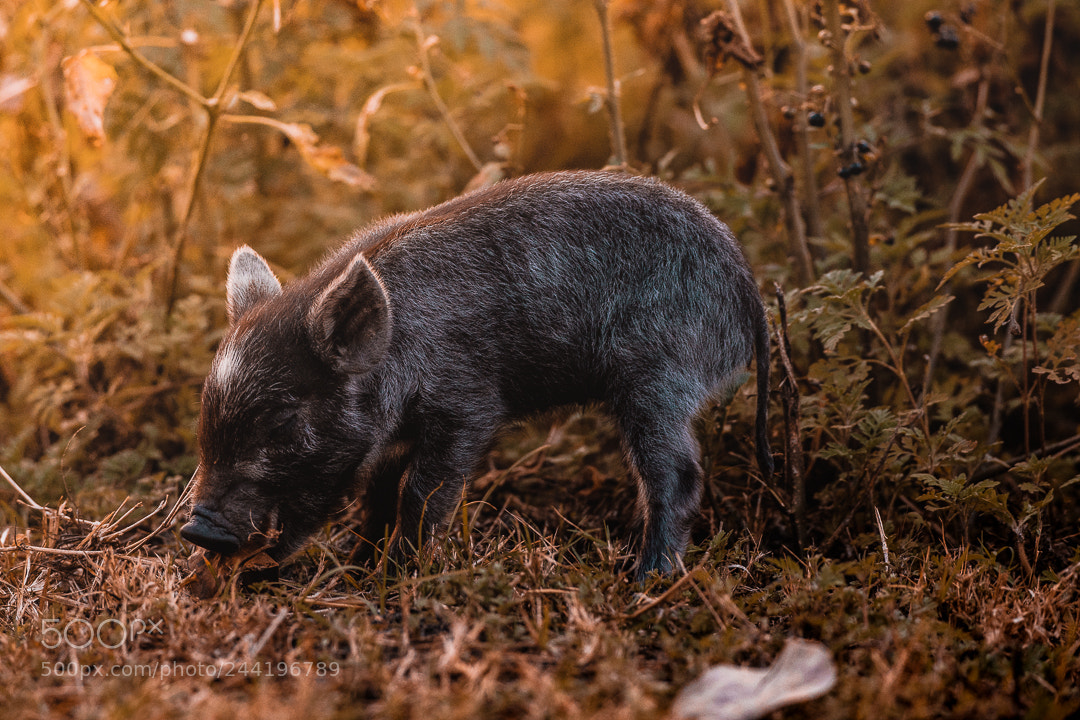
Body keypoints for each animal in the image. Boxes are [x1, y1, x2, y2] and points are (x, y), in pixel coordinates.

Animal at [180, 170, 772, 580]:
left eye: (282, 420)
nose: (196, 528)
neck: (399, 349)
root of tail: (750, 295)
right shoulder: (397, 431)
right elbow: (377, 491)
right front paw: (358, 568)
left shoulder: (469, 405)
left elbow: (422, 492)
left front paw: (394, 578)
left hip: (659, 375)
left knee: (679, 474)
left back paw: (644, 580)